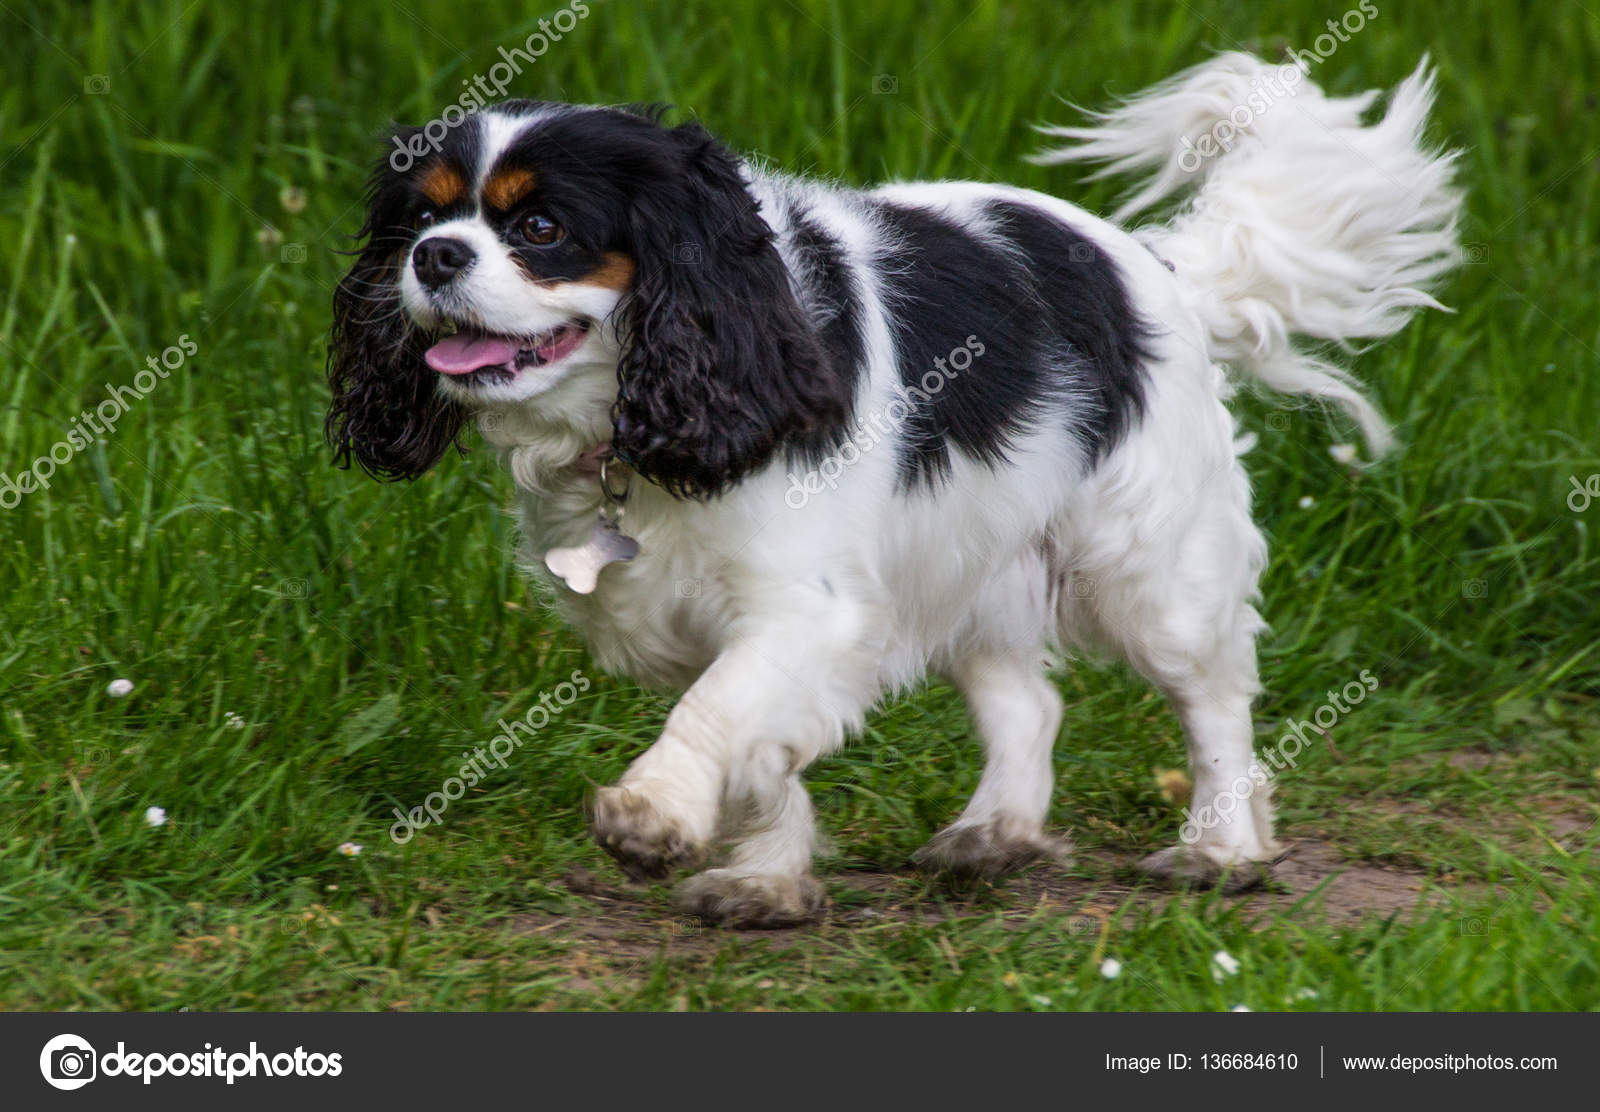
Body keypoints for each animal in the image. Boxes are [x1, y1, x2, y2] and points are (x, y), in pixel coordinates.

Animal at [328, 52, 1465, 928]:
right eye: (422, 217)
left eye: (541, 229)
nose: (434, 257)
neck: (630, 420)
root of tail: (1160, 268)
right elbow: (766, 745)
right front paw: (766, 879)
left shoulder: (805, 607)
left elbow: (715, 710)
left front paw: (653, 814)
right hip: (969, 562)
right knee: (1028, 700)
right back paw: (996, 831)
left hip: (1150, 570)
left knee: (1214, 702)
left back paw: (1220, 849)